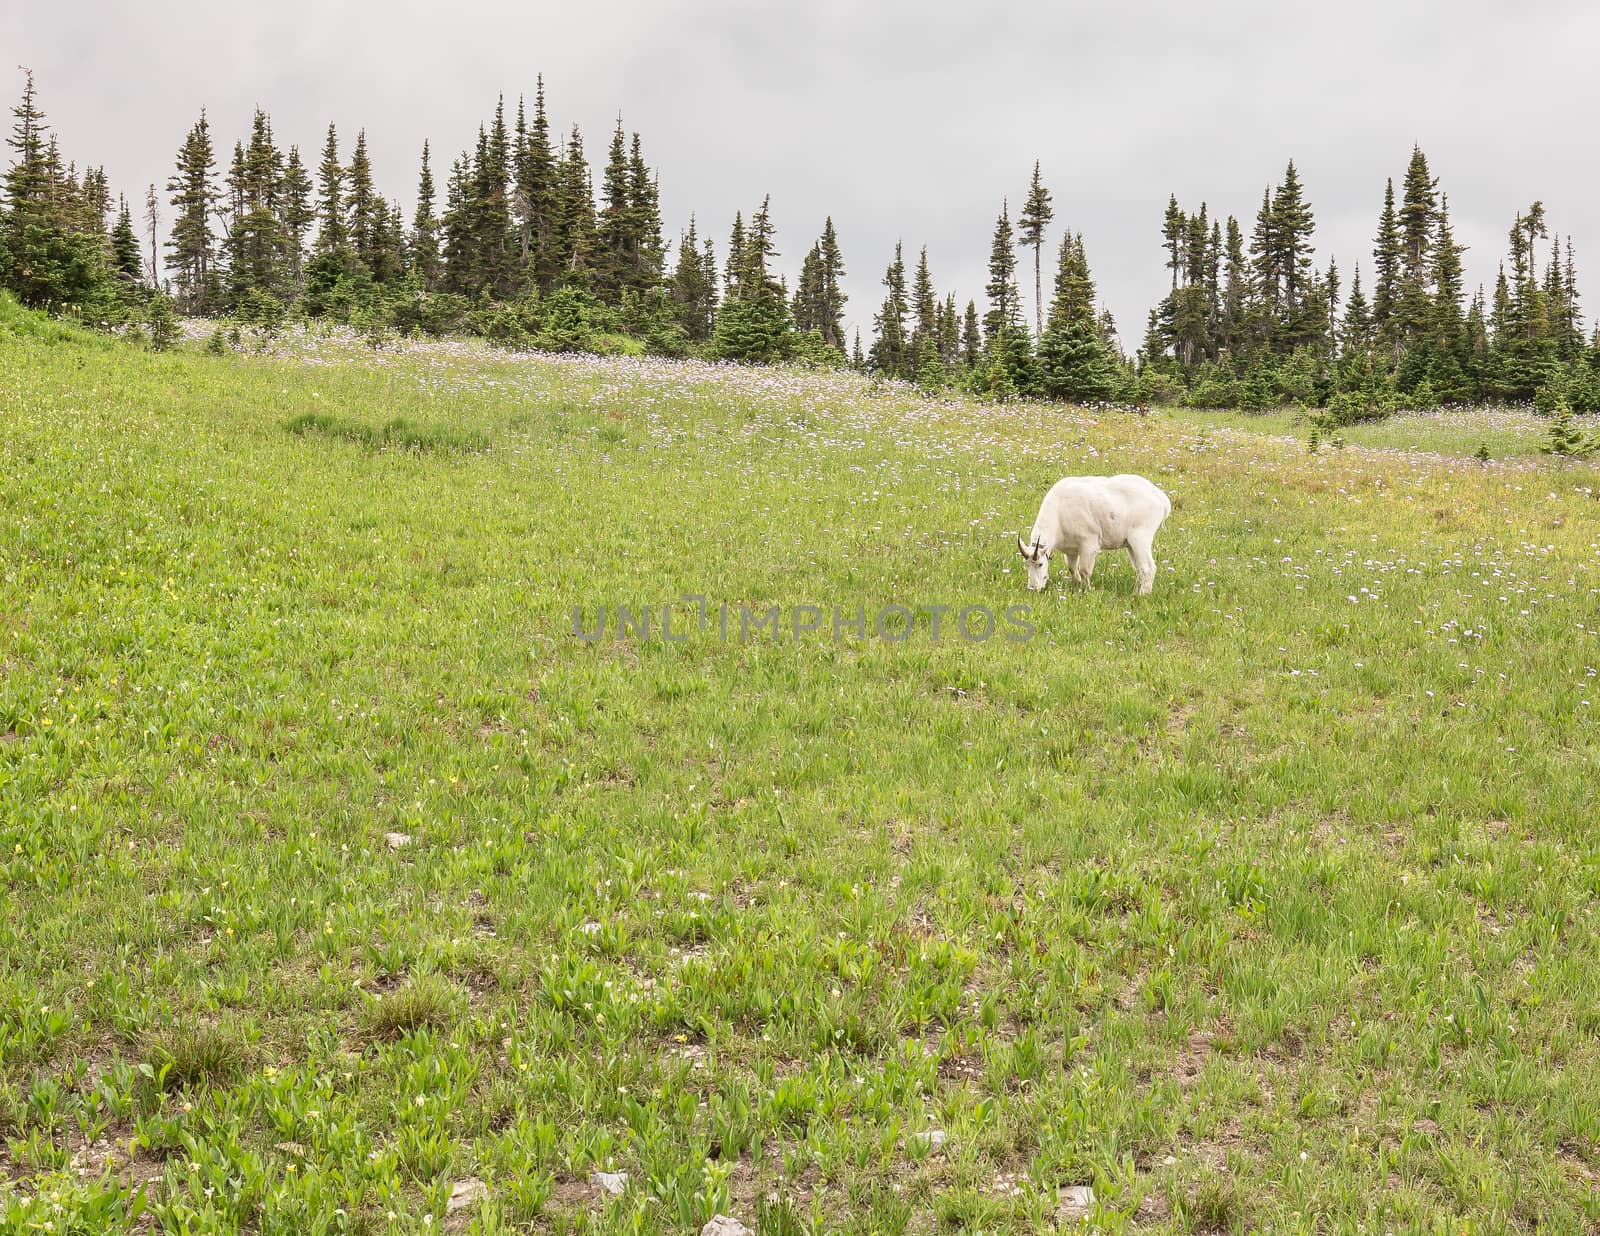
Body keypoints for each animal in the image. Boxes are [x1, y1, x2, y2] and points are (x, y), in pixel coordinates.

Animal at [1017, 473, 1171, 592]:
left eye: (1040, 564)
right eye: (1026, 565)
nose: (1033, 588)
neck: (1059, 512)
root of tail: (1162, 500)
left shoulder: (1089, 543)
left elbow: (1084, 570)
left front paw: (1087, 590)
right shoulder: (1071, 550)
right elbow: (1072, 569)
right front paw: (1075, 586)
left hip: (1140, 536)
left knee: (1148, 567)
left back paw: (1142, 595)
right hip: (1131, 544)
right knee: (1140, 568)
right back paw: (1136, 591)